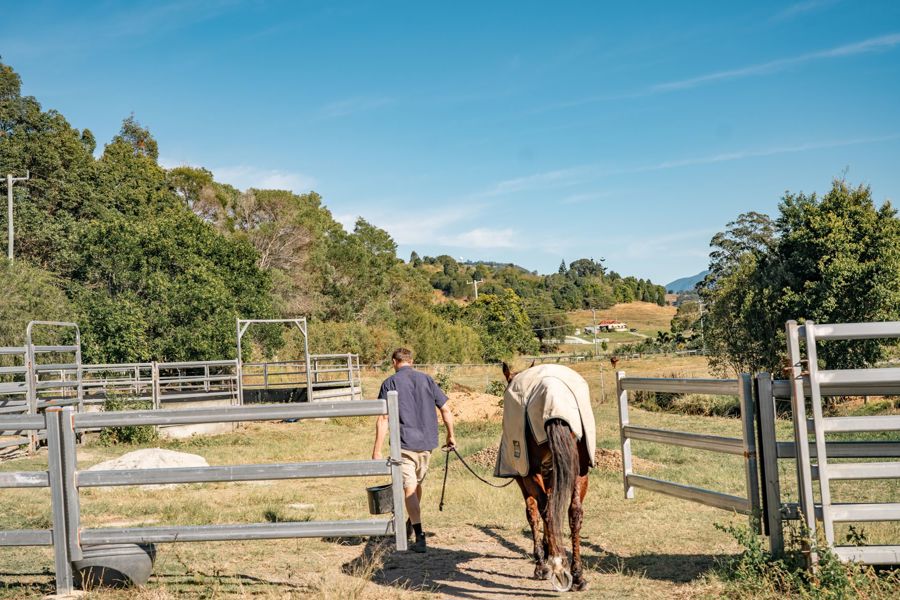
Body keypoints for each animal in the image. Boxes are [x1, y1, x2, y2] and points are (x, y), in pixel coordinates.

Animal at [500, 362, 592, 592]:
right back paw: (577, 575)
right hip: (579, 471)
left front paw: (542, 560)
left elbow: (533, 513)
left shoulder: (524, 479)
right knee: (573, 513)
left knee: (547, 511)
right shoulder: (553, 478)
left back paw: (555, 567)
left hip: (531, 474)